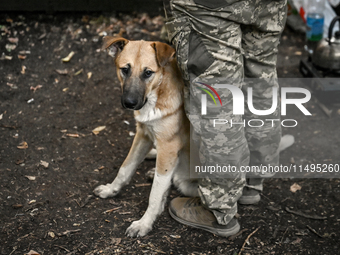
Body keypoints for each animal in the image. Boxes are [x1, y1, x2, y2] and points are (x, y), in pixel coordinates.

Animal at [94, 36, 198, 238]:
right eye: (125, 69)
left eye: (148, 72)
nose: (130, 103)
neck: (155, 98)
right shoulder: (143, 134)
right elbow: (125, 168)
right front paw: (111, 189)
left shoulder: (168, 146)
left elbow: (155, 194)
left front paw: (144, 223)